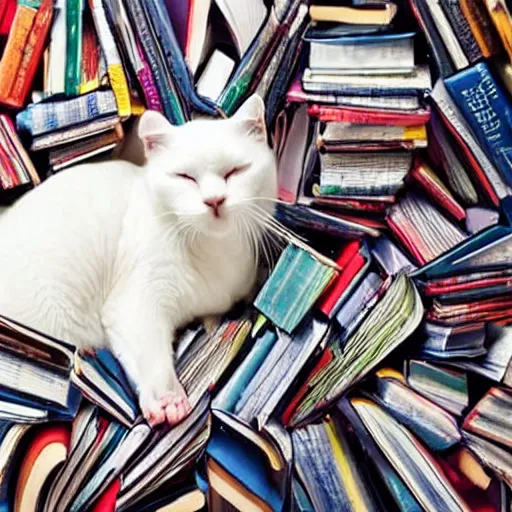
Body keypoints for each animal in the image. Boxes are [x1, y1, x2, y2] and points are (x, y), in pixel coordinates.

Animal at [0, 95, 276, 428]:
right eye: (184, 177)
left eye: (235, 171)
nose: (214, 200)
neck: (215, 253)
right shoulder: (136, 303)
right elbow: (151, 355)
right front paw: (167, 399)